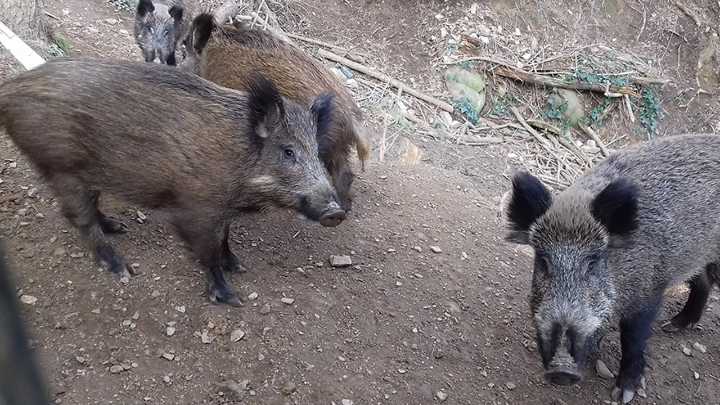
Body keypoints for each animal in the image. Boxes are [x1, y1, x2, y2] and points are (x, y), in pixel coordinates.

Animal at [0, 58, 345, 306]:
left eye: (316, 152)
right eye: (288, 151)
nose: (337, 212)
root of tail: (10, 89)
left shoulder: (222, 209)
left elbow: (225, 239)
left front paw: (238, 265)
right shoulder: (195, 208)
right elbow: (208, 252)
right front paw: (231, 298)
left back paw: (118, 227)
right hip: (61, 168)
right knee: (79, 218)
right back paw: (121, 269)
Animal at [504, 133, 720, 403]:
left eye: (593, 262)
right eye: (543, 262)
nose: (561, 371)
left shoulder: (648, 291)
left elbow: (633, 340)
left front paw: (623, 394)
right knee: (703, 281)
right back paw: (674, 325)